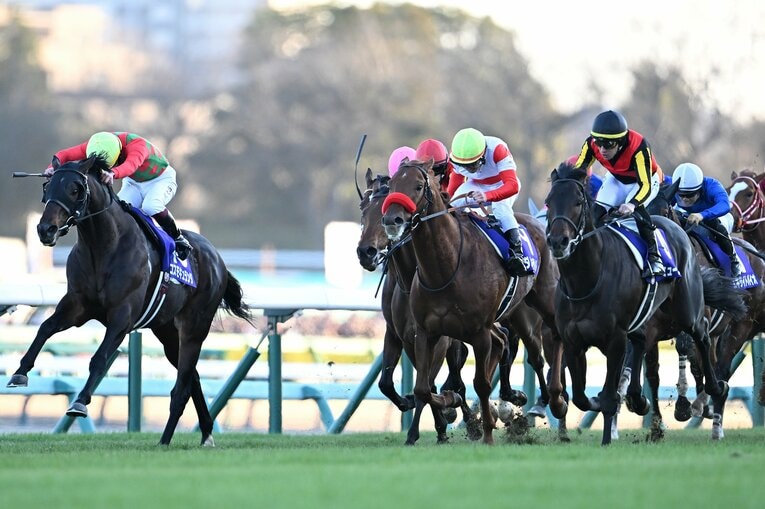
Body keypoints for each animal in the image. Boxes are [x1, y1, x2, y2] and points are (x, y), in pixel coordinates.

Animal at [6, 156, 254, 446]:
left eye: (75, 189)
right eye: (47, 186)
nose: (46, 229)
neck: (103, 247)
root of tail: (218, 260)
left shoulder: (122, 316)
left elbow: (100, 358)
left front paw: (80, 403)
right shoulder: (77, 306)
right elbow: (45, 328)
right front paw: (19, 373)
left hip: (195, 327)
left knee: (182, 387)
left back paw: (165, 440)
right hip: (167, 332)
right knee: (192, 378)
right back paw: (205, 433)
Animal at [380, 159, 565, 445]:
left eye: (419, 185)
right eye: (391, 185)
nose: (392, 219)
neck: (444, 268)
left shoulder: (478, 333)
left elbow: (481, 384)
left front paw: (485, 430)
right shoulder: (425, 332)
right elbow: (424, 388)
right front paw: (450, 405)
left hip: (539, 303)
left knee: (548, 344)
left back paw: (554, 402)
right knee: (507, 344)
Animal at [544, 162, 745, 445]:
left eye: (578, 202)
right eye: (549, 202)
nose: (558, 241)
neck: (586, 280)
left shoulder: (615, 339)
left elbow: (610, 393)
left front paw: (607, 438)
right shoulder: (573, 341)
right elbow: (583, 397)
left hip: (688, 311)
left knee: (702, 335)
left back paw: (716, 388)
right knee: (642, 343)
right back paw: (642, 401)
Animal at [649, 180, 765, 438]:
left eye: (664, 211)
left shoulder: (700, 318)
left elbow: (688, 349)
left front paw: (686, 405)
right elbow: (690, 356)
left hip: (741, 327)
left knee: (722, 367)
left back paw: (714, 414)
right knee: (709, 362)